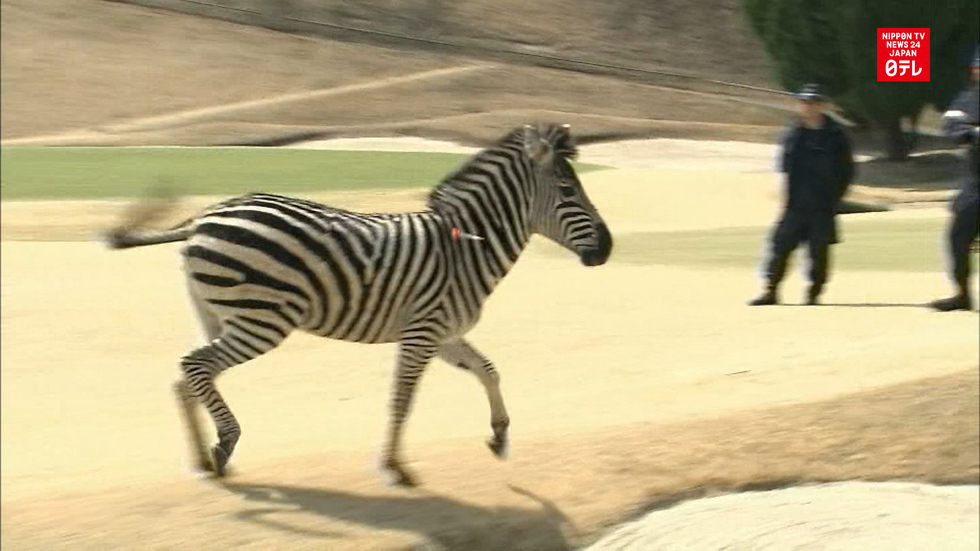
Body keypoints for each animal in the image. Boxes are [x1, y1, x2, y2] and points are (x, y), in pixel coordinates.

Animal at [103, 122, 613, 487]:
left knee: (187, 375)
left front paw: (500, 433)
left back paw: (202, 459)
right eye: (569, 191)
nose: (606, 249)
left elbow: (489, 370)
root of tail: (204, 217)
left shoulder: (445, 333)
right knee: (194, 365)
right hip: (261, 319)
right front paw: (394, 467)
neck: (464, 250)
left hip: (216, 314)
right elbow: (402, 400)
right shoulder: (422, 333)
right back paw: (225, 444)